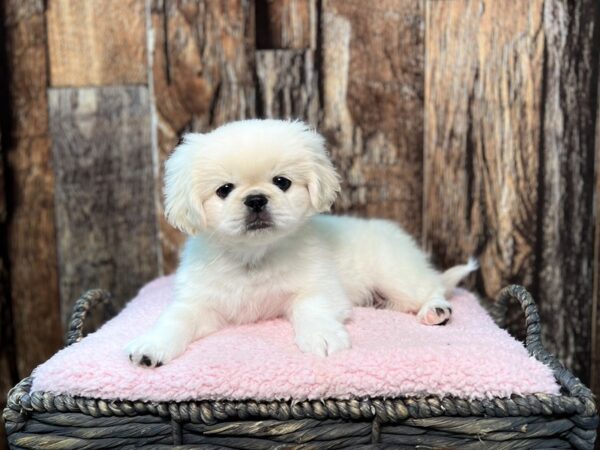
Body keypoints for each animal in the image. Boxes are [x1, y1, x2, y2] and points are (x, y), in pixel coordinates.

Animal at [125, 118, 474, 366]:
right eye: (224, 190)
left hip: (396, 276)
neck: (253, 257)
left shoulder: (320, 289)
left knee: (433, 288)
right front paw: (150, 346)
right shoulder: (199, 304)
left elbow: (311, 309)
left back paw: (436, 311)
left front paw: (322, 336)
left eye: (282, 182)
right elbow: (174, 321)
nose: (256, 199)